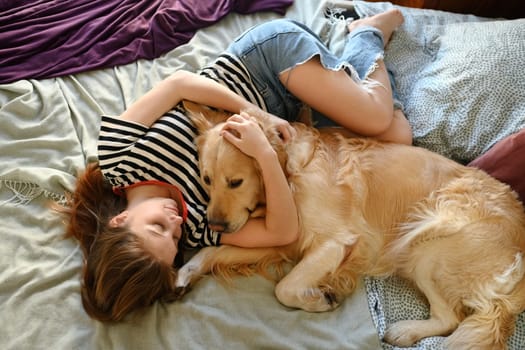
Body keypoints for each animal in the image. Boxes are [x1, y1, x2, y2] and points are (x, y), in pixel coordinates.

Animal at [177, 102, 524, 348]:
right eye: (206, 180)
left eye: (235, 182)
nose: (215, 225)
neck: (290, 173)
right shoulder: (285, 239)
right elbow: (214, 254)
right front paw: (185, 272)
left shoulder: (335, 241)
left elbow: (284, 288)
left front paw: (319, 299)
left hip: (428, 244)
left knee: (450, 318)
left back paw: (403, 331)